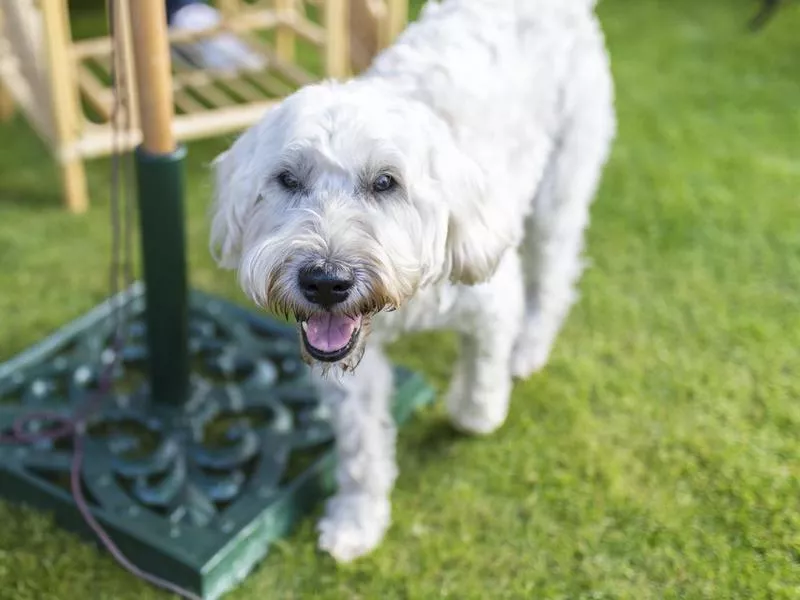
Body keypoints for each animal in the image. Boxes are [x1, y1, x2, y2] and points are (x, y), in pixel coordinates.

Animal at [209, 0, 616, 564]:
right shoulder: (350, 372)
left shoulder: (493, 302)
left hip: (560, 195)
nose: (325, 282)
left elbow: (479, 392)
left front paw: (470, 408)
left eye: (385, 182)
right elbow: (362, 451)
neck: (403, 300)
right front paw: (357, 522)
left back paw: (529, 350)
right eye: (287, 179)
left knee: (554, 280)